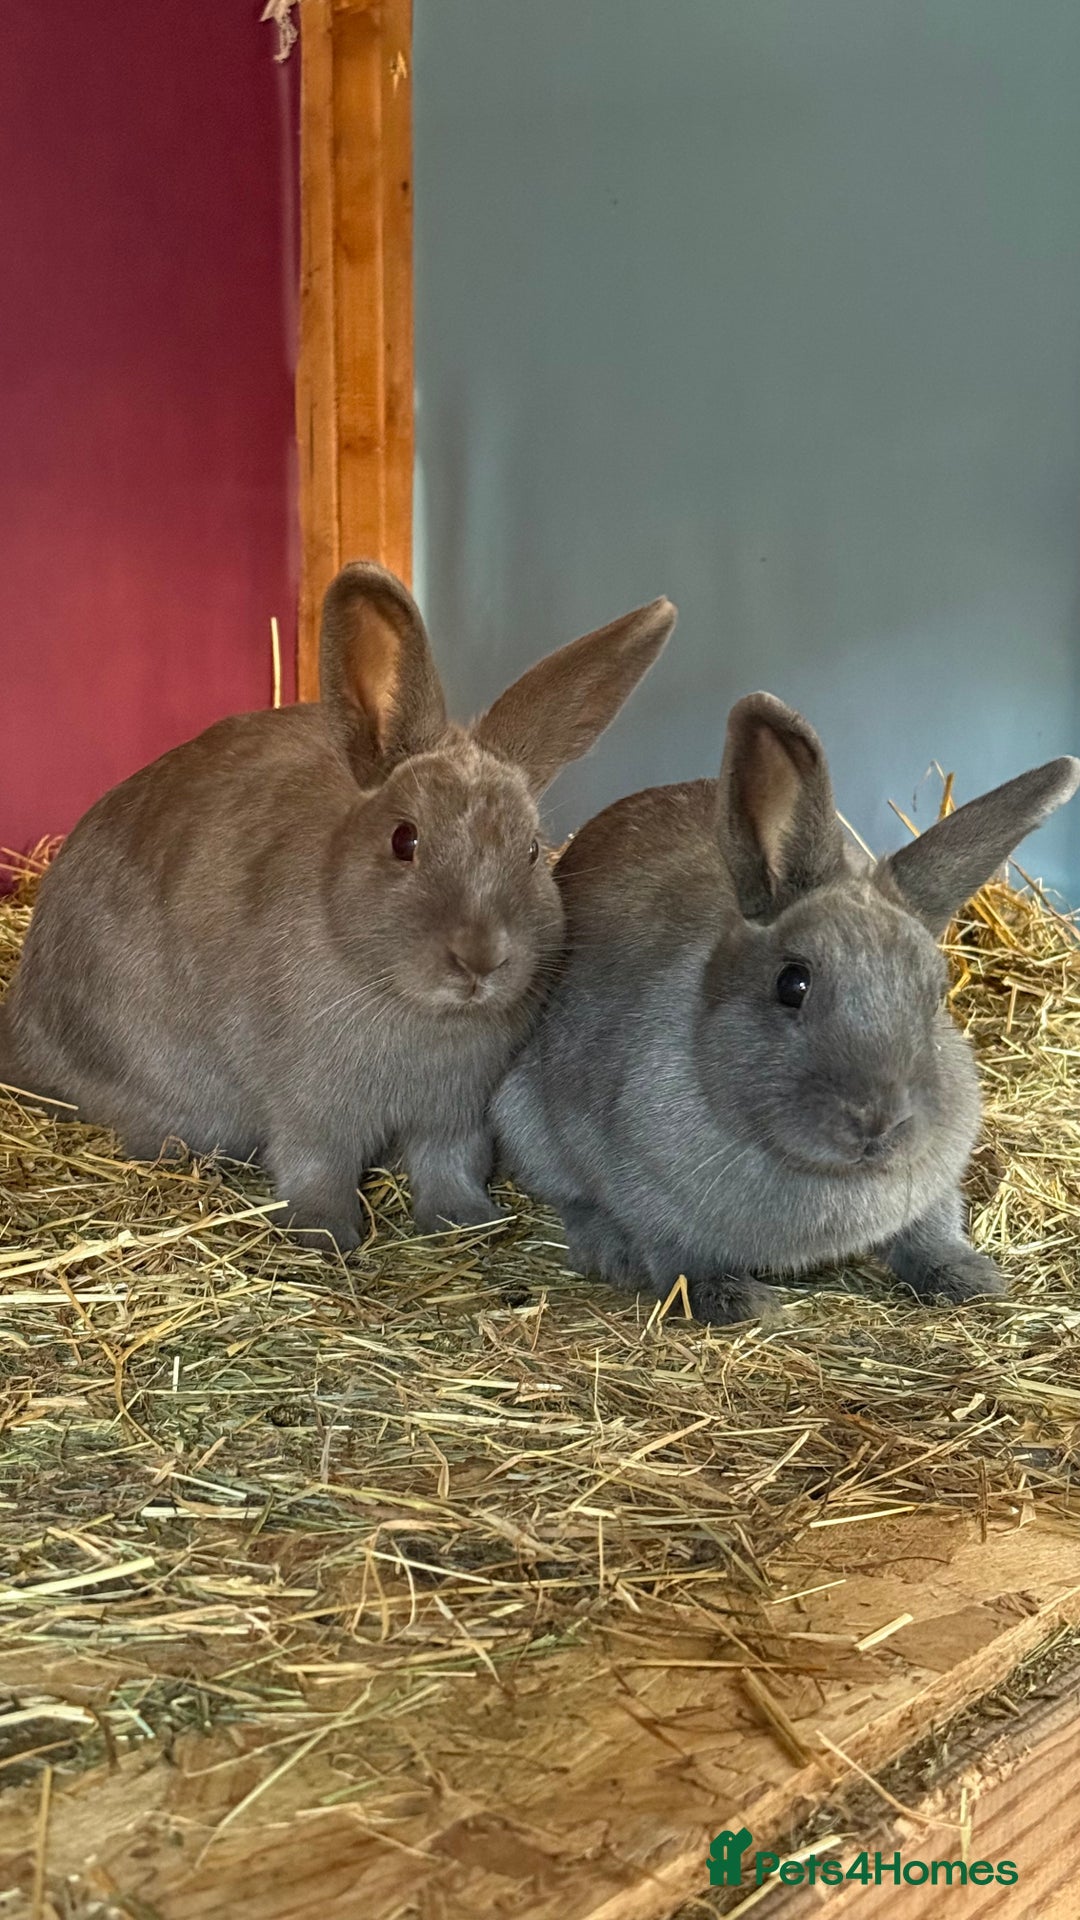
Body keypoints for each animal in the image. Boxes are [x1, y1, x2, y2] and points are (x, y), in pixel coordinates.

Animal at [0, 562, 676, 1251]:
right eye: (404, 840)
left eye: (534, 850)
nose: (481, 959)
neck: (417, 1011)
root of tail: (21, 1028)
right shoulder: (312, 1106)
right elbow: (318, 1163)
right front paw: (323, 1235)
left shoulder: (456, 1115)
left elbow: (450, 1163)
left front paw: (464, 1223)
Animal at [494, 692, 1080, 1320]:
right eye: (791, 984)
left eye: (935, 994)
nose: (879, 1123)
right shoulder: (645, 1193)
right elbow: (678, 1254)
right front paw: (736, 1302)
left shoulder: (934, 1188)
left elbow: (931, 1231)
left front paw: (969, 1279)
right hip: (523, 1120)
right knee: (572, 1200)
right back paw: (611, 1253)